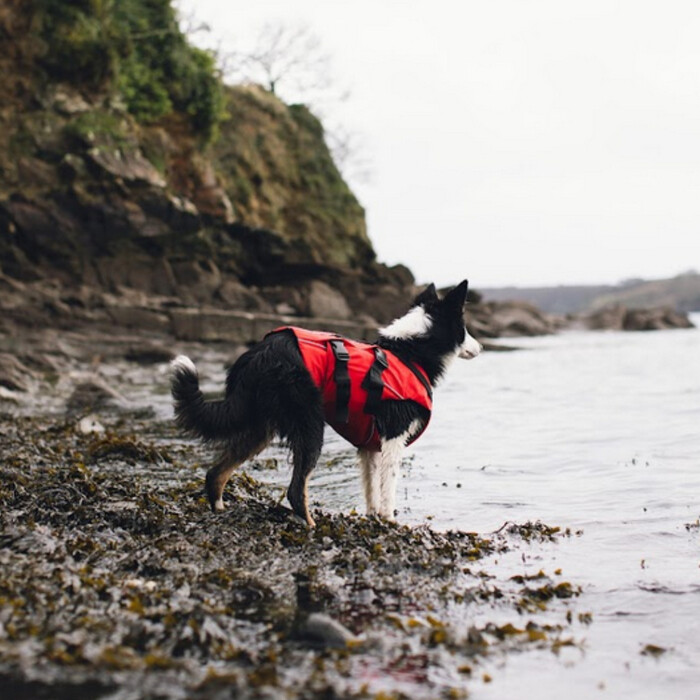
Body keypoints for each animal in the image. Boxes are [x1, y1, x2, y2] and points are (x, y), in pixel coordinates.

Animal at [172, 278, 484, 524]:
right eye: (465, 328)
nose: (480, 347)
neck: (409, 353)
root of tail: (257, 354)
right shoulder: (394, 437)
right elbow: (388, 490)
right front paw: (389, 521)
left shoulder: (370, 444)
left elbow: (371, 488)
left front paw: (373, 518)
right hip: (310, 425)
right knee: (295, 490)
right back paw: (310, 526)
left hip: (260, 427)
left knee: (216, 472)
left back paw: (219, 509)